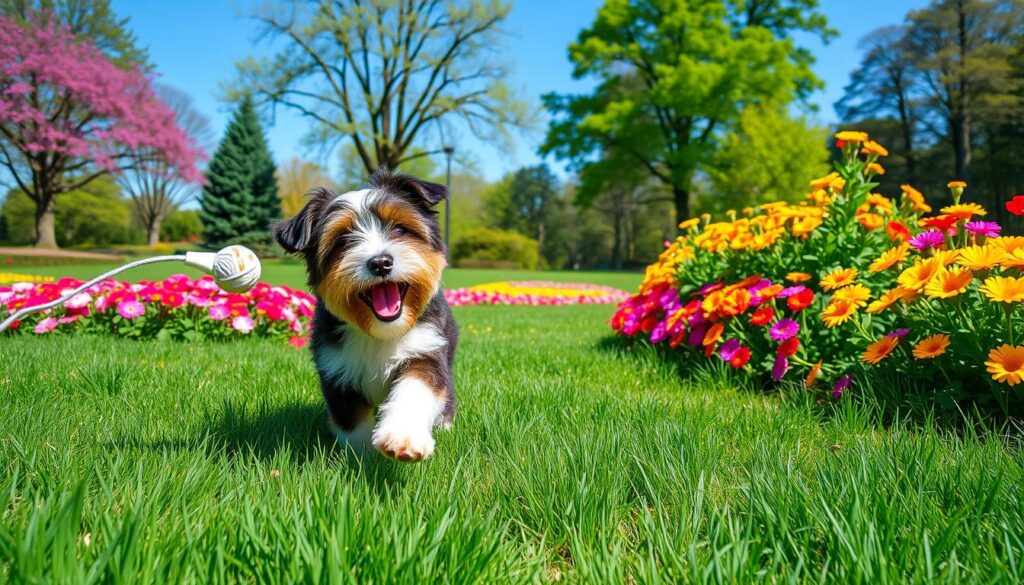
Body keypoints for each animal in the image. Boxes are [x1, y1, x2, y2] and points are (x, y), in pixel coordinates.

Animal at [272, 166, 456, 461]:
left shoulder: (426, 350)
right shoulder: (336, 370)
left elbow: (415, 390)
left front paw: (404, 437)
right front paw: (363, 458)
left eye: (400, 228)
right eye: (343, 240)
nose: (380, 262)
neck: (380, 334)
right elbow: (353, 423)